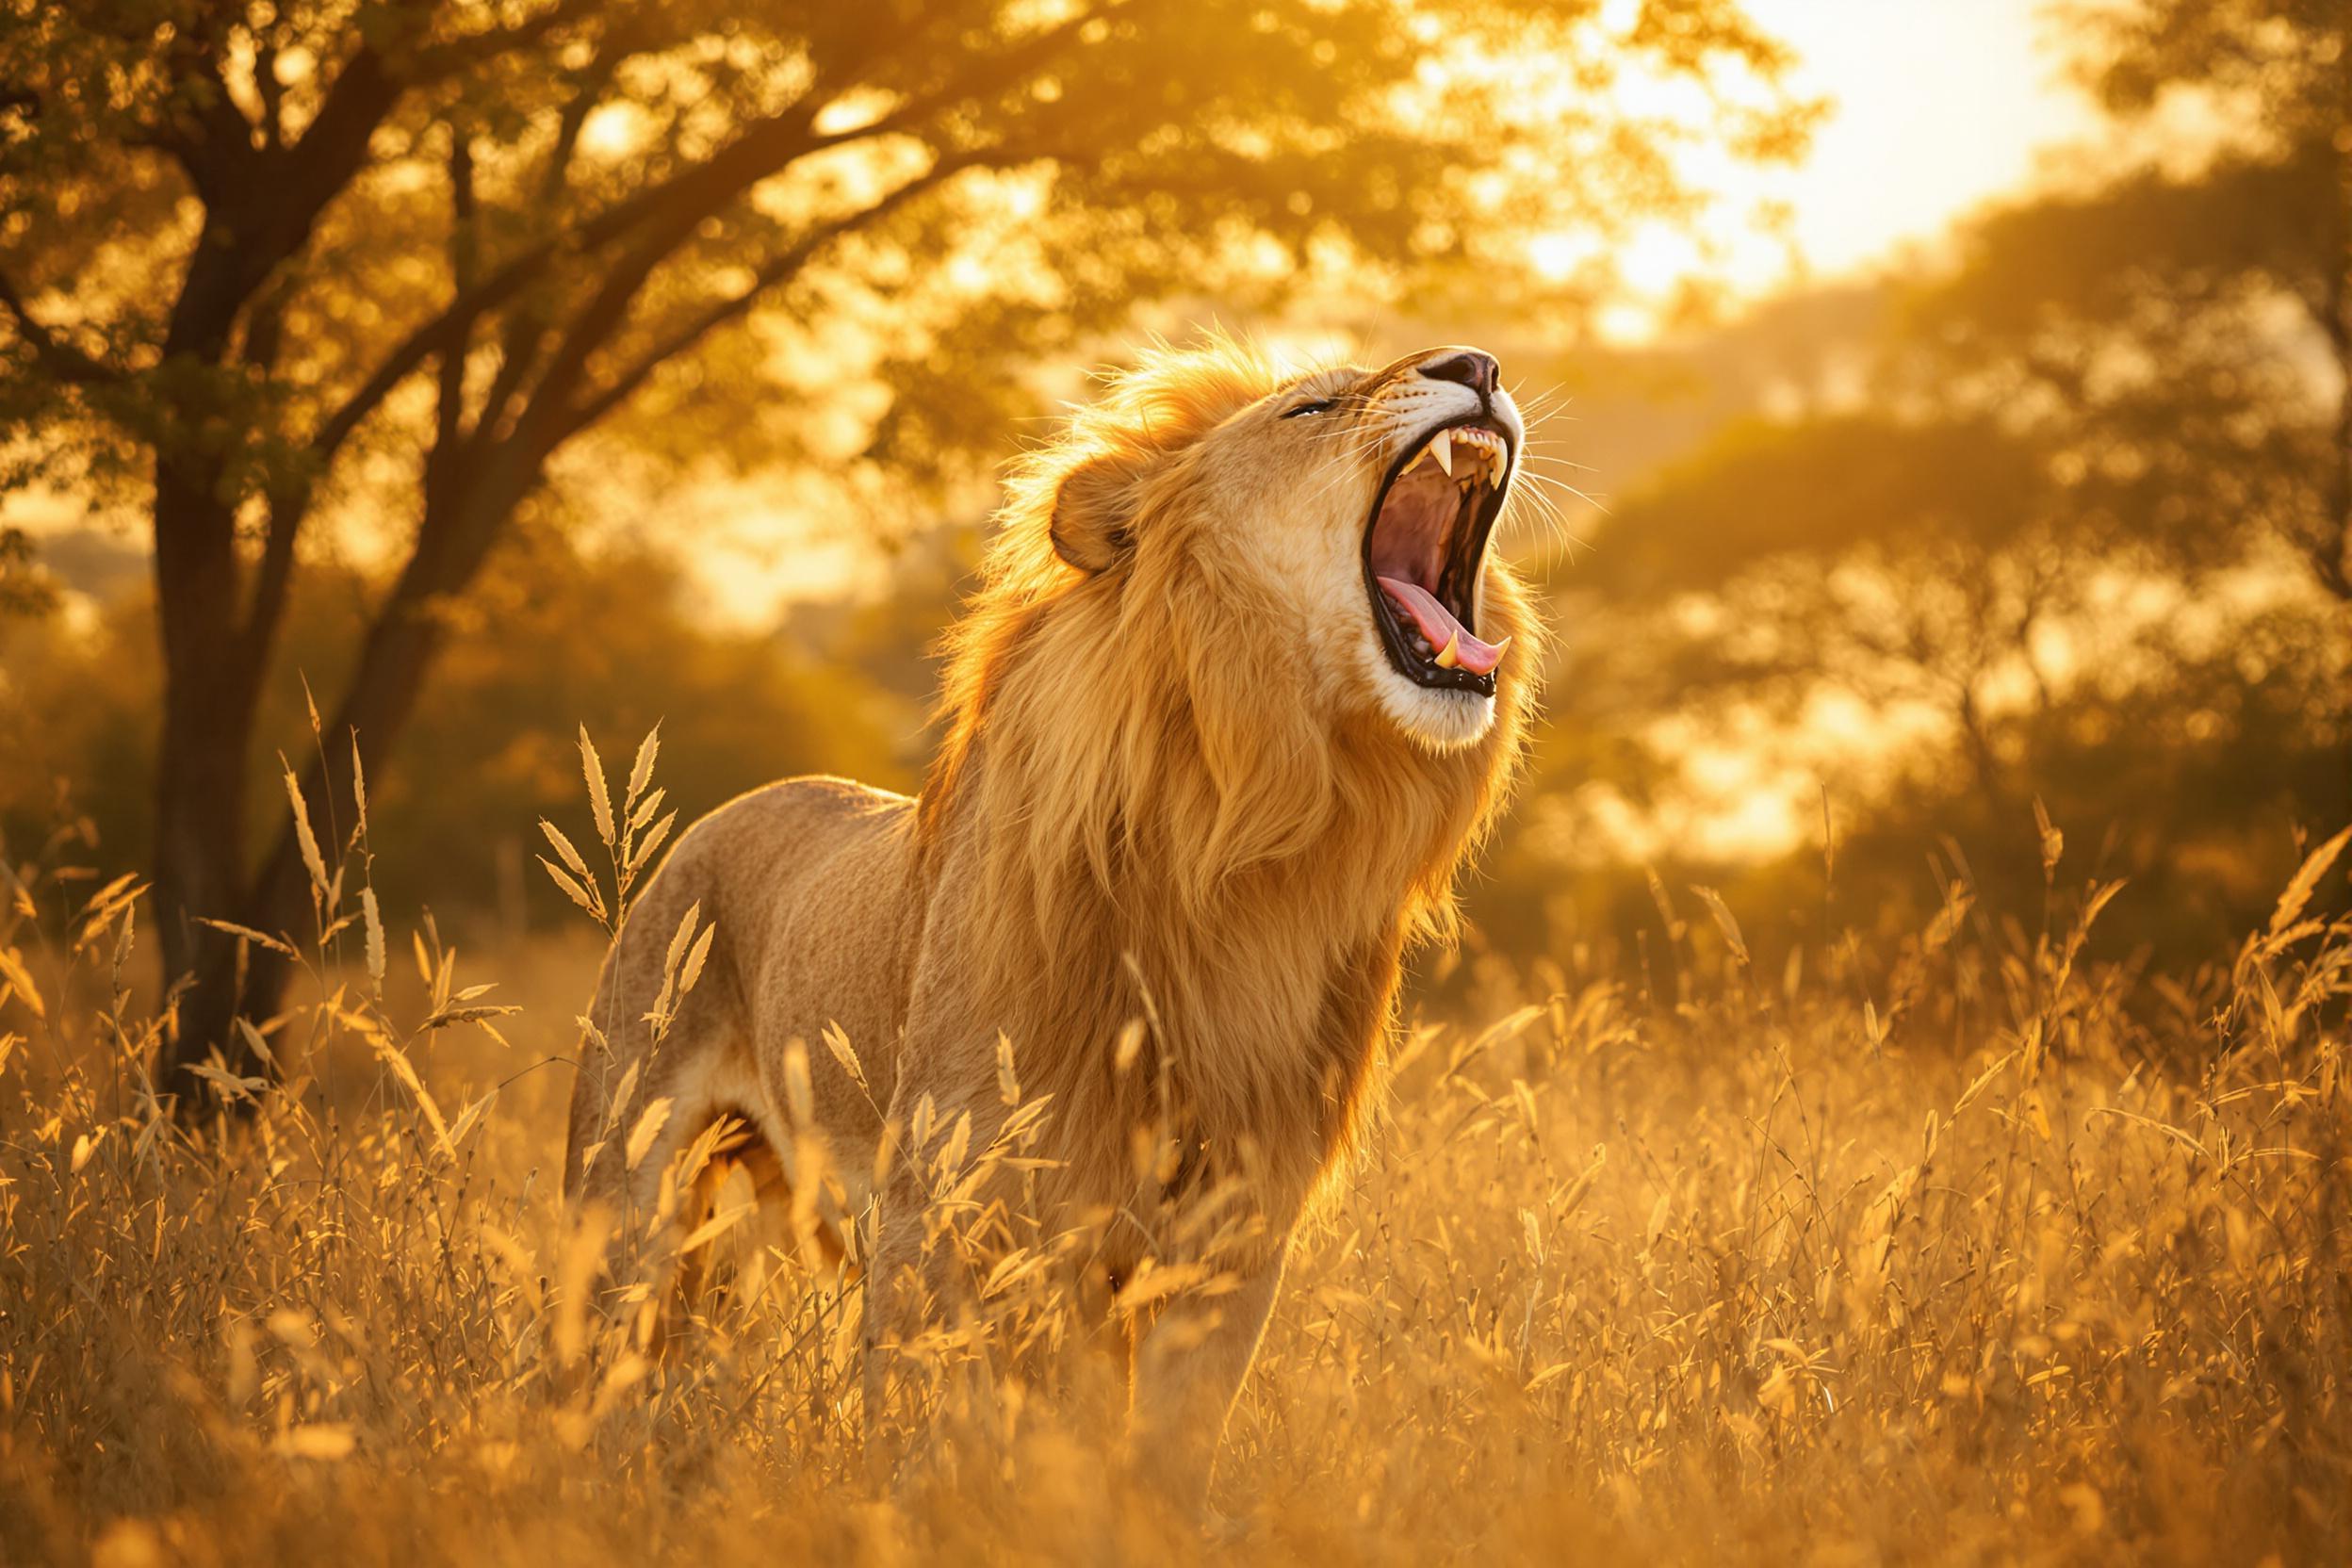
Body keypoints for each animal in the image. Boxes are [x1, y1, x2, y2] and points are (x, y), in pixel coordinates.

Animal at [564, 338, 1543, 1504]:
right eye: (1310, 408)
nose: (1479, 361)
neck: (1244, 853)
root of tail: (717, 817)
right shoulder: (943, 1220)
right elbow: (926, 1436)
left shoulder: (1228, 1238)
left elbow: (1159, 1454)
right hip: (623, 1195)